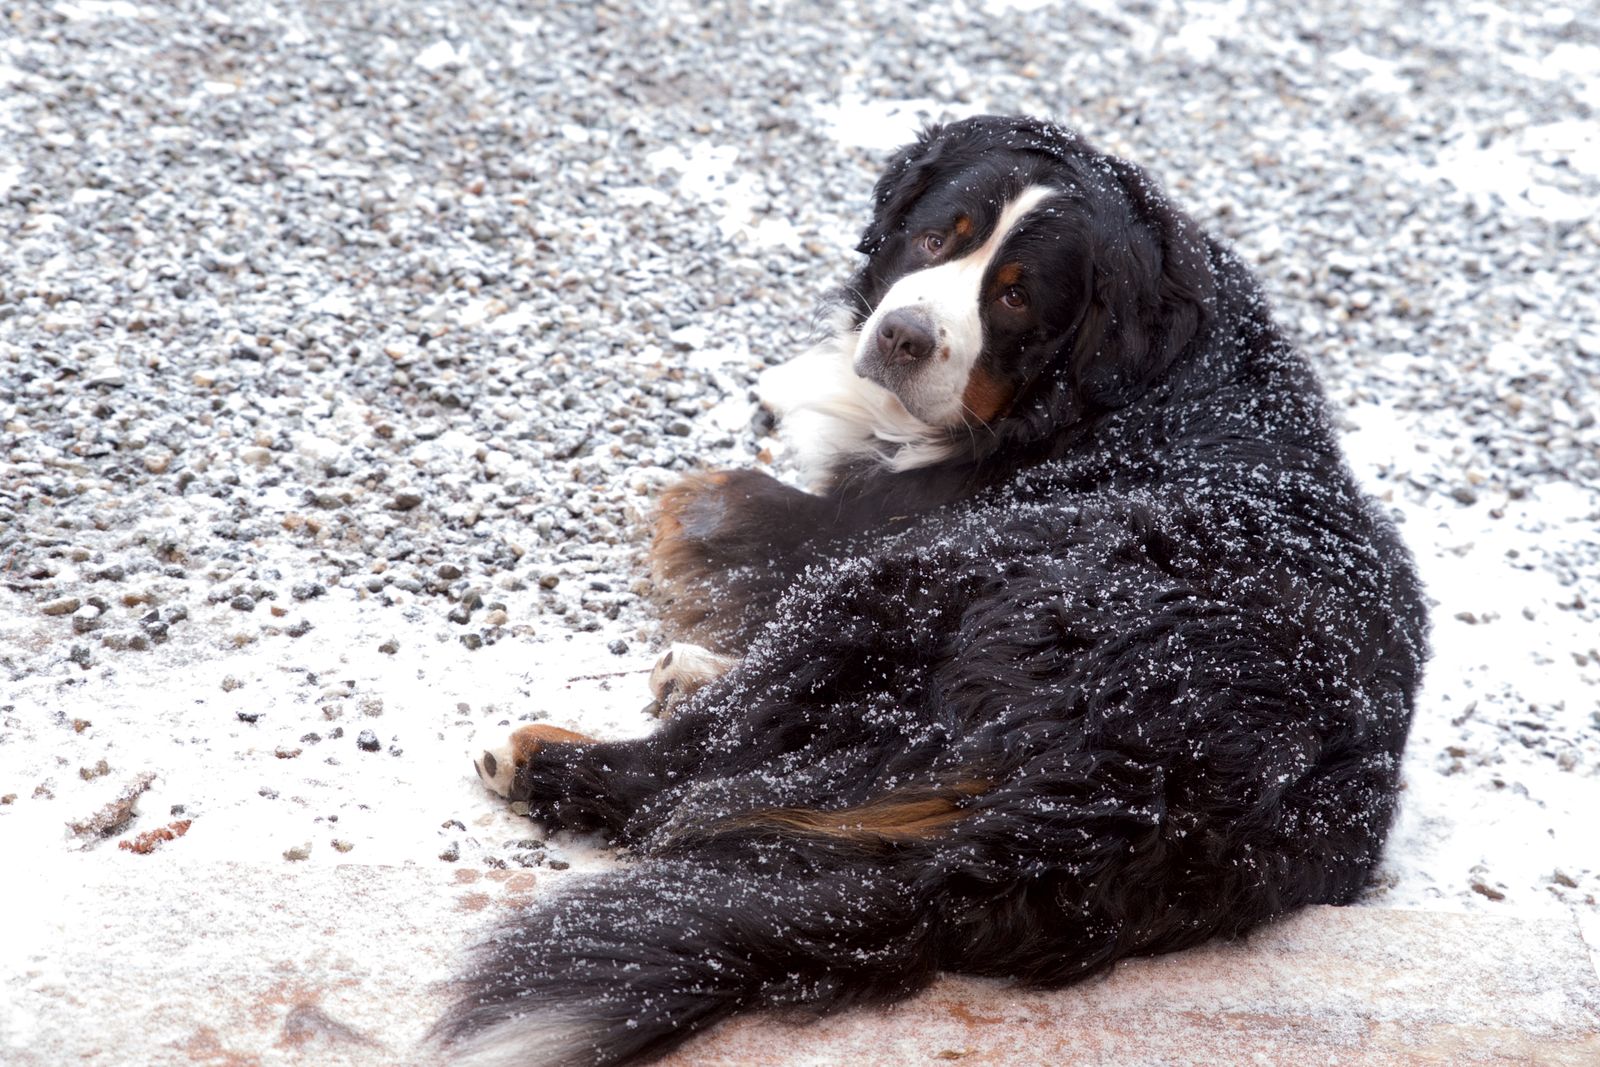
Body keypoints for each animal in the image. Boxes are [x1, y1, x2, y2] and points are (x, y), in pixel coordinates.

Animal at [433, 115, 1429, 1066]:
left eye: (1016, 295)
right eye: (935, 238)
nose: (903, 336)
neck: (1127, 390)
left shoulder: (848, 528)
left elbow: (719, 499)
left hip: (921, 579)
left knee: (682, 780)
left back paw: (539, 754)